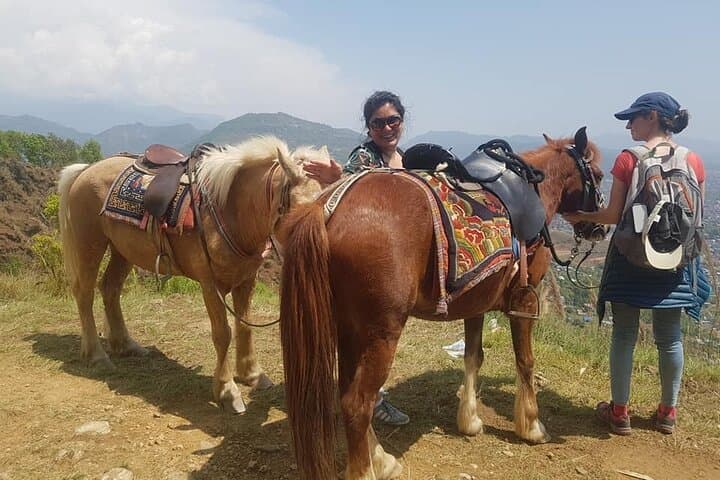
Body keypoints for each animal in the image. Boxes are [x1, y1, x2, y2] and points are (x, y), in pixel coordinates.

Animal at [58, 136, 324, 413]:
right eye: (301, 211)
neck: (230, 210)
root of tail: (86, 169)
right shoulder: (210, 285)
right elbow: (222, 334)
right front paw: (227, 391)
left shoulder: (245, 280)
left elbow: (244, 326)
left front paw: (253, 375)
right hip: (89, 244)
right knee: (84, 295)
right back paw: (97, 355)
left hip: (122, 250)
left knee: (110, 288)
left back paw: (126, 345)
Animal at [279, 128, 606, 480]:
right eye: (600, 175)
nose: (600, 227)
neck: (532, 190)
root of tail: (327, 209)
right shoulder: (524, 300)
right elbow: (526, 361)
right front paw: (531, 426)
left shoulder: (476, 300)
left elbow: (473, 357)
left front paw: (470, 420)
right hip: (379, 332)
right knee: (358, 402)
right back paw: (367, 468)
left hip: (348, 327)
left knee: (347, 395)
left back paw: (381, 458)